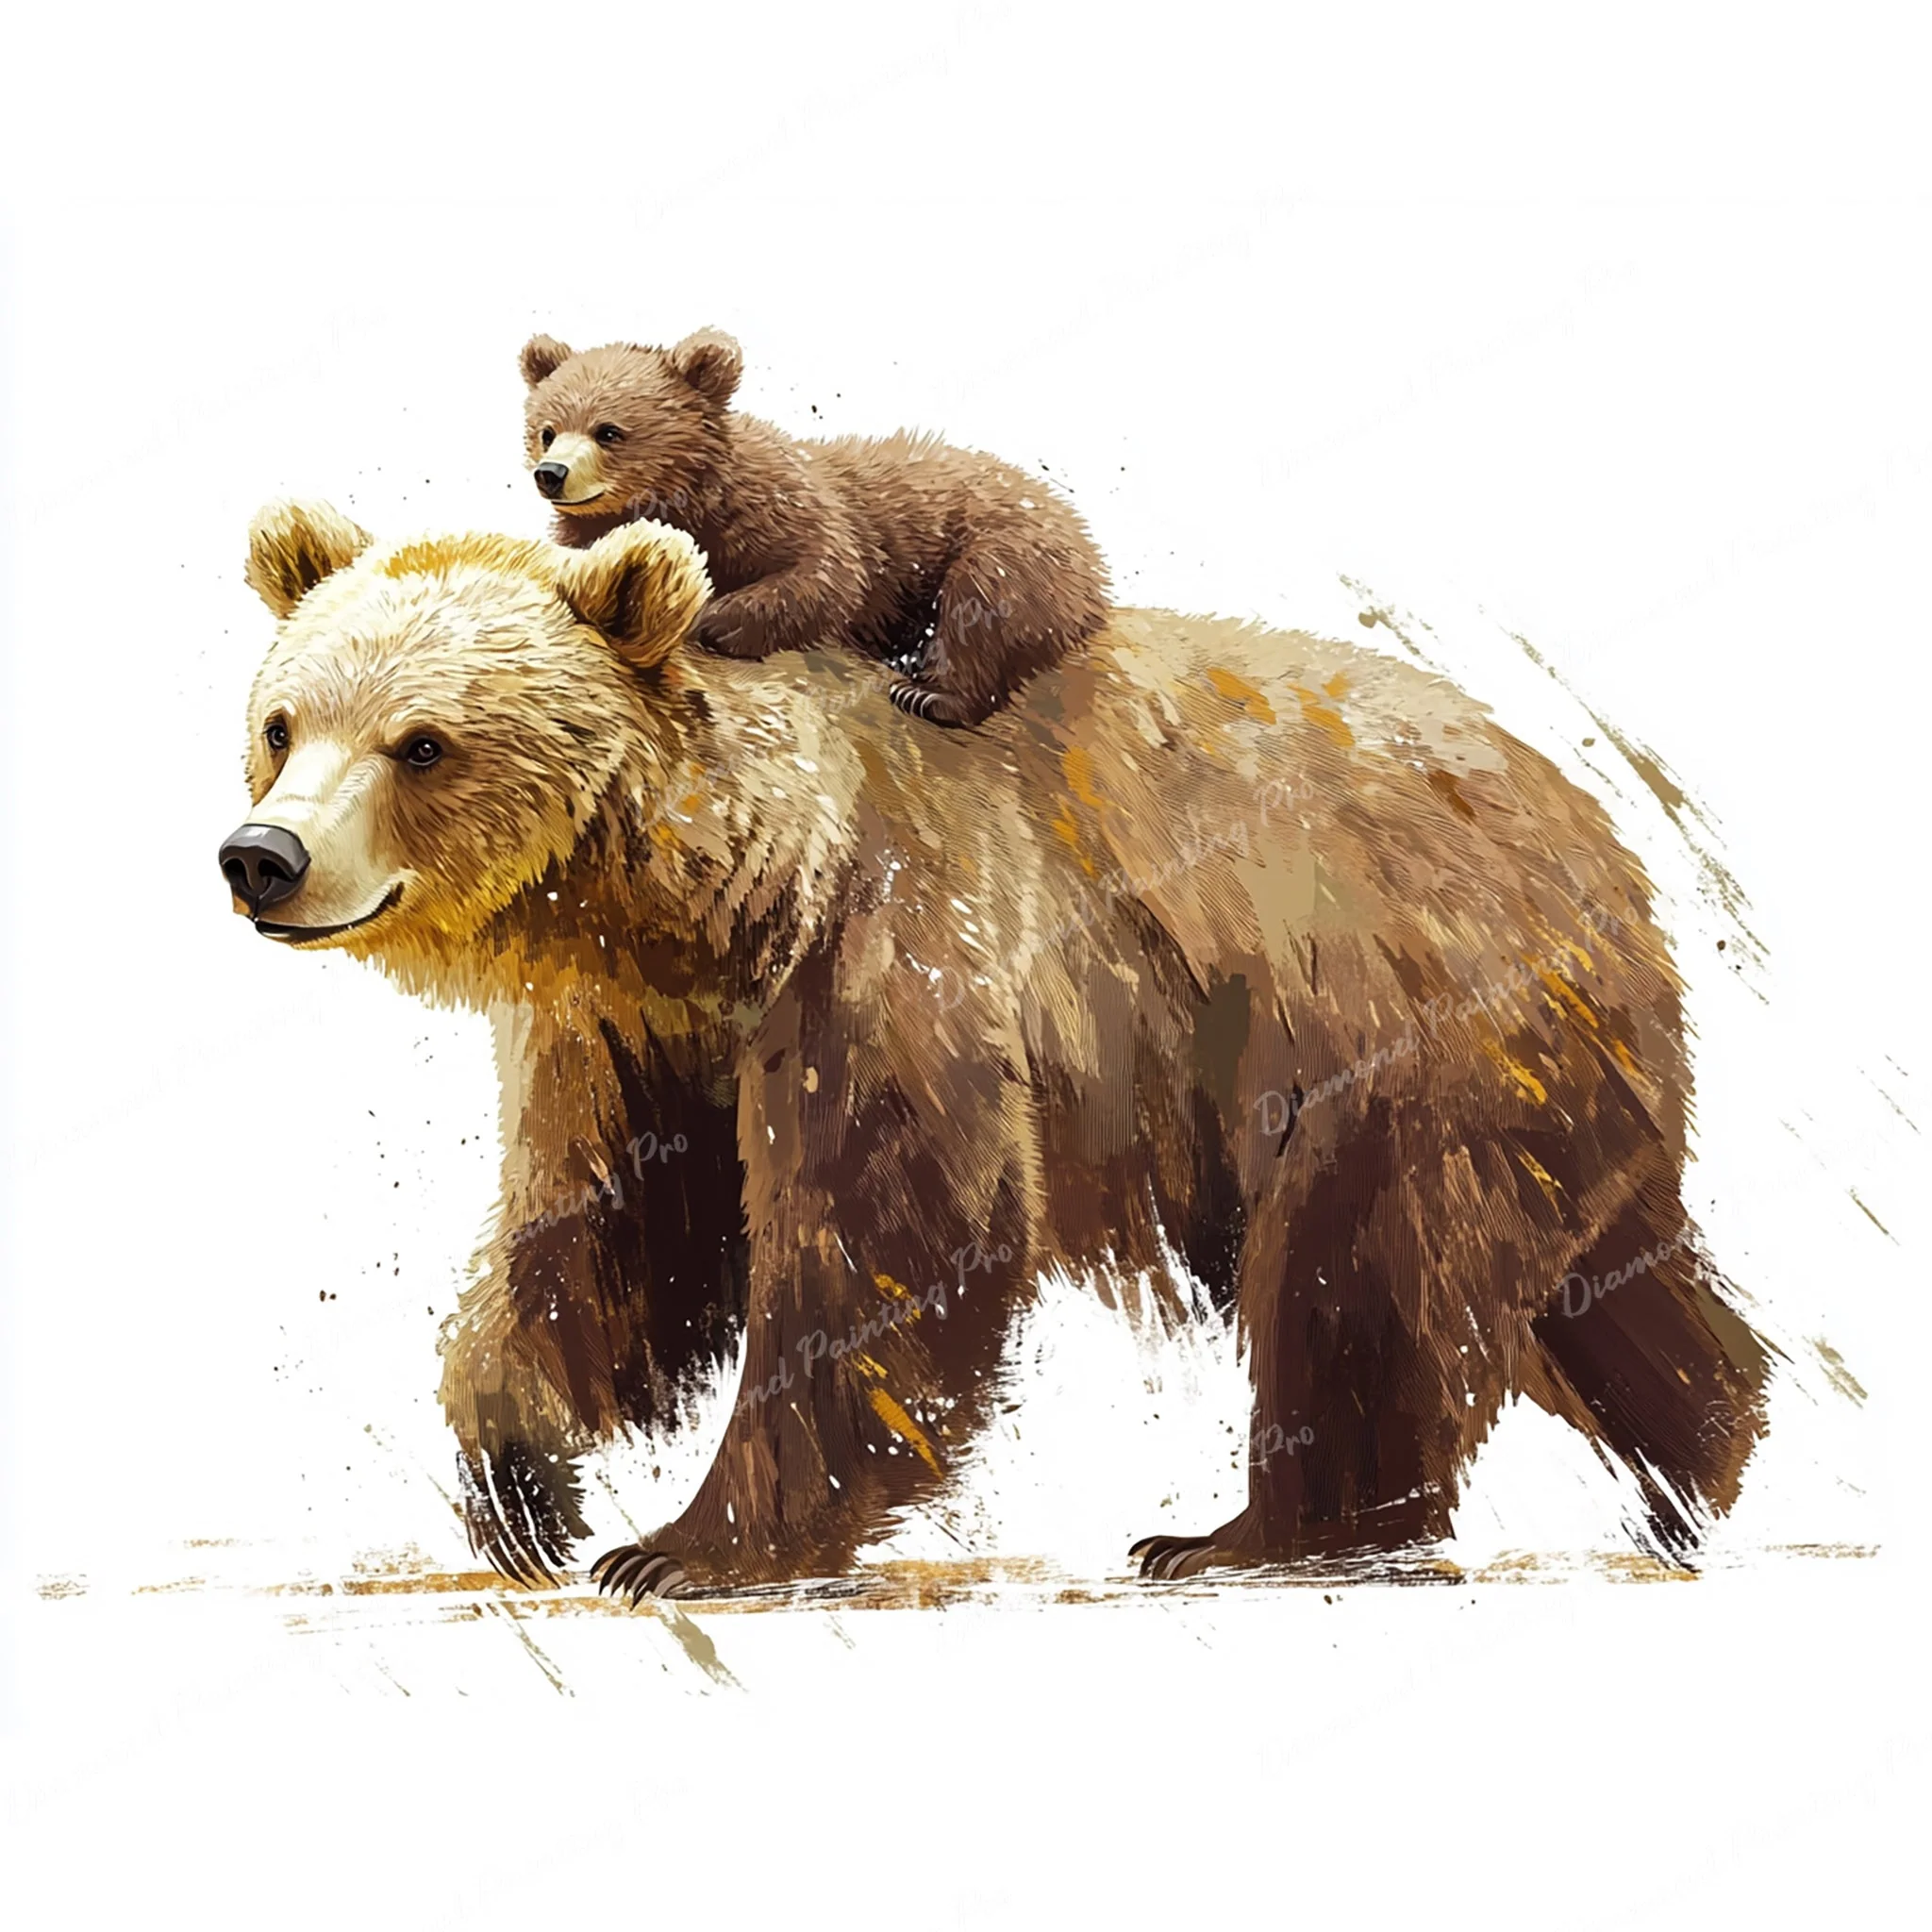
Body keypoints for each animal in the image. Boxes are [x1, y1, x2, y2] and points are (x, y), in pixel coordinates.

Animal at [221, 500, 1770, 1596]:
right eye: (282, 722)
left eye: (423, 743)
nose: (263, 857)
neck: (709, 895)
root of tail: (1598, 829)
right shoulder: (638, 1031)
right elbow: (602, 1228)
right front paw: (524, 1482)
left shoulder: (893, 932)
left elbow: (892, 1230)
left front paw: (686, 1544)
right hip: (1540, 1075)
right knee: (1602, 1284)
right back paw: (1704, 1465)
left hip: (1396, 1023)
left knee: (1362, 1270)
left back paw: (1249, 1535)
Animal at [518, 328, 1111, 730]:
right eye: (547, 429)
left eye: (609, 431)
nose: (552, 474)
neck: (687, 496)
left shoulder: (780, 504)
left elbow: (826, 572)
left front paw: (713, 617)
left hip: (1014, 547)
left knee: (982, 606)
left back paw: (930, 695)